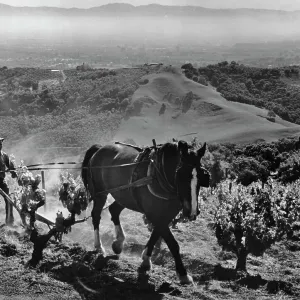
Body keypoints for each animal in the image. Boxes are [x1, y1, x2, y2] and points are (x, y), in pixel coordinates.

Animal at [81, 139, 210, 284]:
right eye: (180, 174)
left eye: (202, 175)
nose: (192, 211)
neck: (160, 175)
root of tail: (99, 148)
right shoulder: (154, 214)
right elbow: (172, 243)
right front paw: (183, 274)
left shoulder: (166, 214)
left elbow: (156, 234)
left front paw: (146, 260)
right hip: (100, 193)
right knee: (96, 215)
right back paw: (99, 247)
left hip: (124, 196)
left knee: (114, 210)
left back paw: (119, 242)